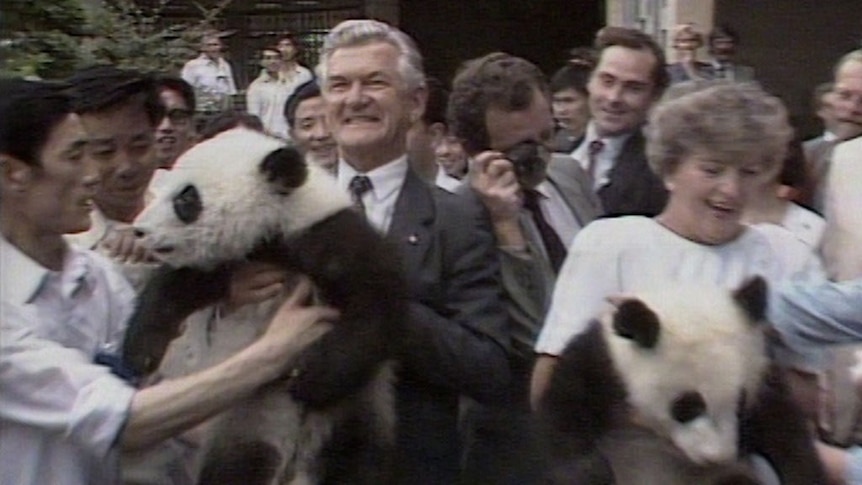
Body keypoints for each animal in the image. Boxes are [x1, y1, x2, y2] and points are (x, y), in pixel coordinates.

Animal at [123, 126, 406, 482]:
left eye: (186, 199)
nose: (139, 230)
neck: (275, 223)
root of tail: (294, 467)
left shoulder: (326, 233)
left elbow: (377, 302)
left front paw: (311, 377)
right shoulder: (235, 263)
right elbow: (175, 286)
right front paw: (140, 354)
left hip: (352, 418)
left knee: (357, 463)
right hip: (247, 430)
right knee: (234, 469)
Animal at [540, 276, 832, 484]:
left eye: (740, 403)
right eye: (687, 406)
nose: (716, 457)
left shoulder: (761, 373)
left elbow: (785, 430)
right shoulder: (604, 363)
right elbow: (566, 409)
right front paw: (589, 472)